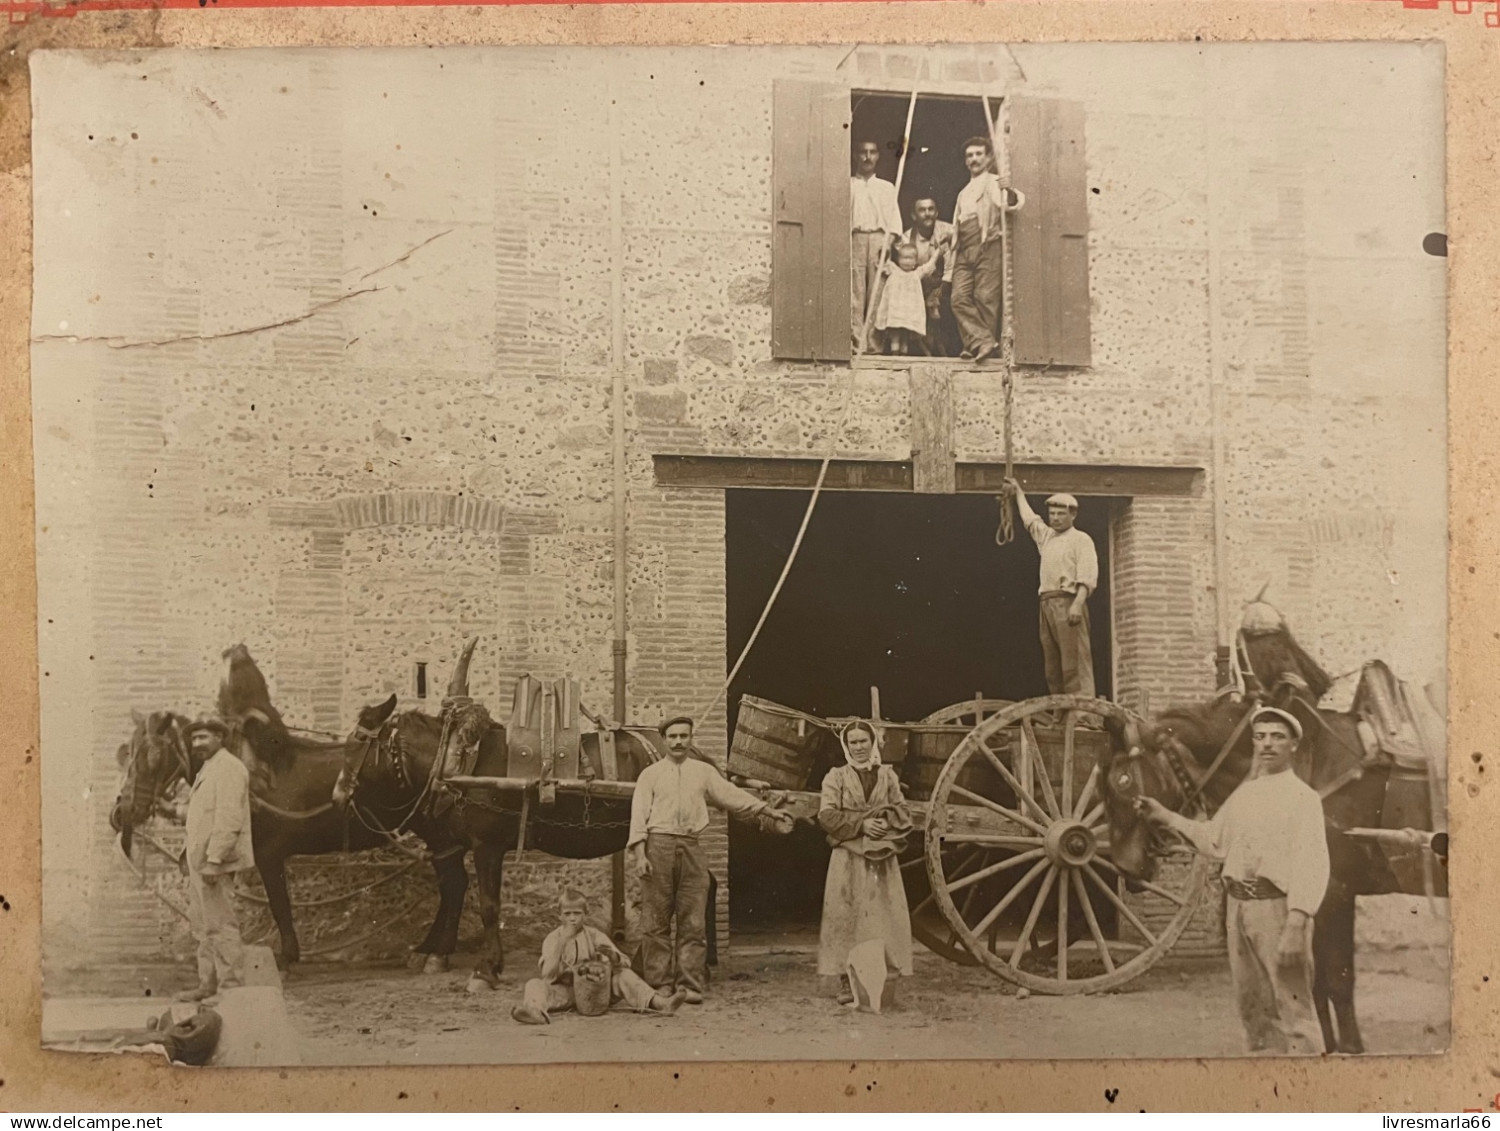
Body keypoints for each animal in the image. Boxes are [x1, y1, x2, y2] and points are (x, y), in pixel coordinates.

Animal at [111, 642, 471, 972]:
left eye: (152, 756)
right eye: (126, 751)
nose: (122, 812)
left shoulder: (268, 855)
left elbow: (279, 905)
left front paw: (286, 956)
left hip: (440, 833)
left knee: (455, 883)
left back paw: (438, 953)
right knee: (449, 883)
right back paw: (426, 948)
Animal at [1098, 603, 1422, 1056]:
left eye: (1122, 782)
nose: (1125, 868)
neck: (1309, 760)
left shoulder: (1334, 893)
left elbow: (1336, 980)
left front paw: (1349, 1047)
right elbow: (1314, 985)